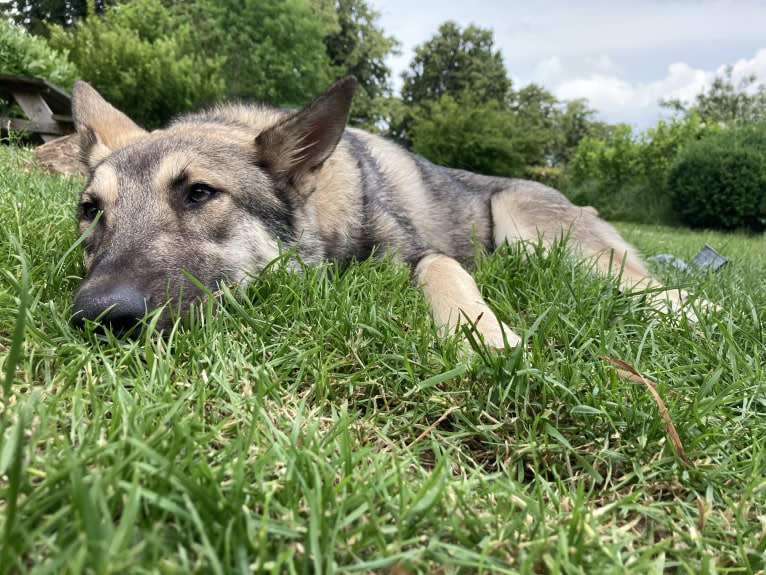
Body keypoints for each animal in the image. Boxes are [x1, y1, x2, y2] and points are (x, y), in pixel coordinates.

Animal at [72, 76, 704, 346]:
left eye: (199, 194)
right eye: (89, 210)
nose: (99, 316)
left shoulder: (421, 253)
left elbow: (442, 269)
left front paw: (482, 334)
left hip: (530, 228)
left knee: (658, 288)